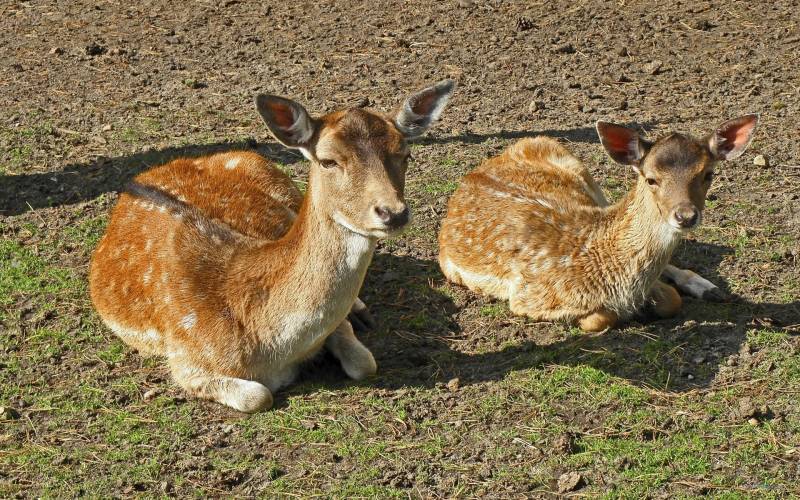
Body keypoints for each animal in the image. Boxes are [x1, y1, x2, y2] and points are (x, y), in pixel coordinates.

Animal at [88, 80, 456, 412]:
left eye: (405, 154)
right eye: (328, 161)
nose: (392, 212)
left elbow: (364, 362)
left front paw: (356, 318)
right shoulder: (186, 360)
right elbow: (258, 396)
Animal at [440, 114, 760, 330]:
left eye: (708, 174)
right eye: (651, 178)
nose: (685, 215)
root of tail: (472, 174)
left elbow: (672, 299)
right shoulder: (526, 298)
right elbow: (601, 318)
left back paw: (710, 288)